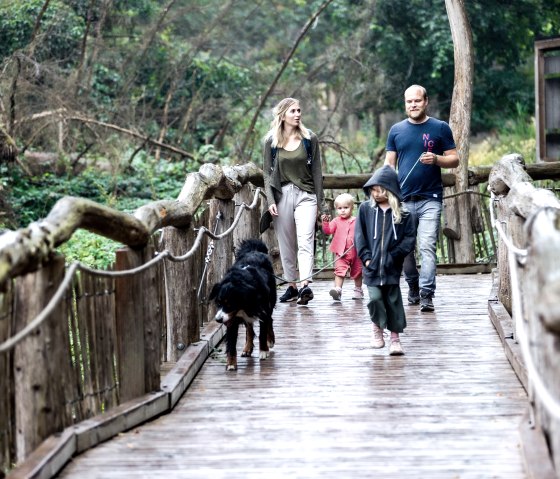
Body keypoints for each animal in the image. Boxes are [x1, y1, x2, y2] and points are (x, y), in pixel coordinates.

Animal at [209, 239, 276, 372]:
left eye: (230, 304)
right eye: (218, 303)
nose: (218, 320)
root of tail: (254, 250)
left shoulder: (262, 310)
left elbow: (262, 332)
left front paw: (263, 351)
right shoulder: (232, 319)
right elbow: (231, 343)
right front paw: (231, 363)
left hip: (271, 301)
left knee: (269, 320)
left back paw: (270, 340)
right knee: (249, 328)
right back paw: (247, 348)